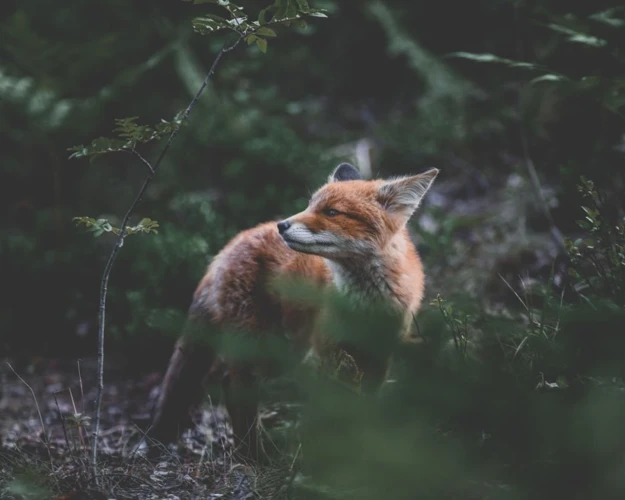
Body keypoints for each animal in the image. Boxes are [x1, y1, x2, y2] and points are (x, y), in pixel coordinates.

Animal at [147, 164, 438, 458]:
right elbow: (331, 410)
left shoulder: (379, 355)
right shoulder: (327, 352)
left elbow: (364, 406)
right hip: (268, 347)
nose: (282, 225)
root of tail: (228, 246)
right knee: (233, 386)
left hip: (287, 351)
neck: (365, 306)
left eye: (332, 212)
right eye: (310, 205)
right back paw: (252, 454)